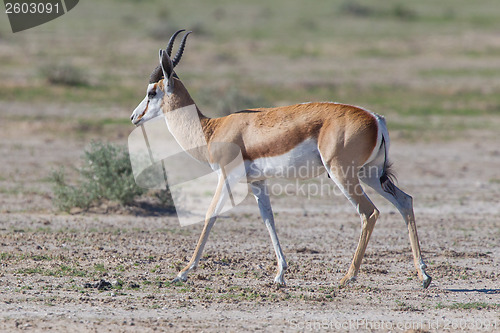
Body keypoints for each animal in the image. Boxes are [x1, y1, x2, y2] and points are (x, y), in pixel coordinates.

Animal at [131, 29, 432, 286]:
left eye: (152, 92)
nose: (134, 117)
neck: (210, 129)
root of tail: (375, 119)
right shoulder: (257, 182)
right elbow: (269, 220)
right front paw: (280, 275)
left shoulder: (227, 176)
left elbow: (210, 214)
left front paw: (183, 271)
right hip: (370, 174)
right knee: (405, 201)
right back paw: (423, 276)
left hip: (342, 174)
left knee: (369, 212)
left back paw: (348, 277)